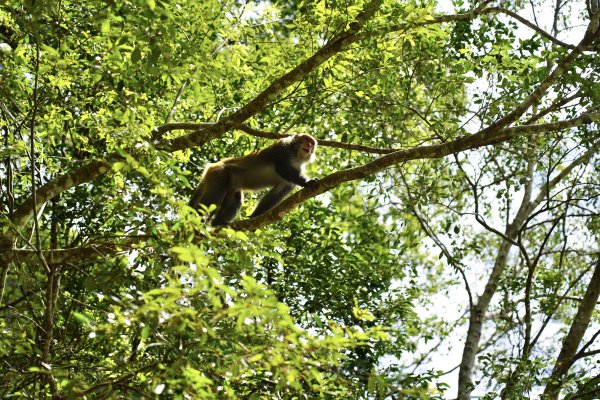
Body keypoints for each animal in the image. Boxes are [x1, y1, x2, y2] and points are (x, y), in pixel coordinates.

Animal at [189, 134, 318, 225]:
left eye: (312, 143)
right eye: (306, 139)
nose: (310, 146)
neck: (296, 156)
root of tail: (211, 166)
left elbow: (278, 192)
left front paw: (255, 215)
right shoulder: (283, 147)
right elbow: (283, 168)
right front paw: (308, 182)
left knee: (236, 200)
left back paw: (217, 224)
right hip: (219, 173)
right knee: (217, 191)